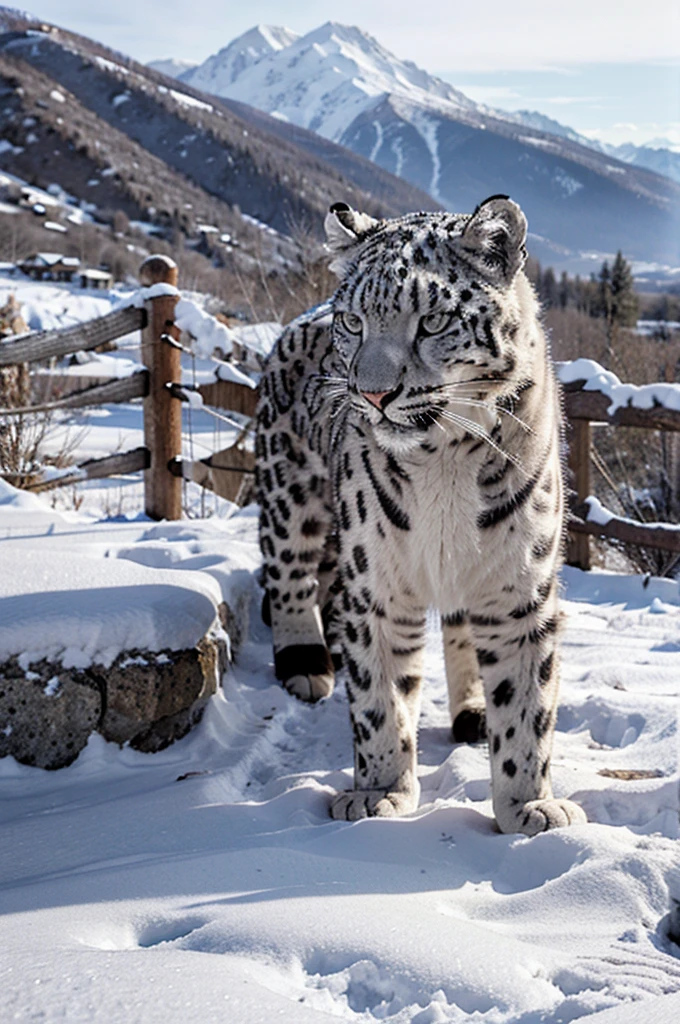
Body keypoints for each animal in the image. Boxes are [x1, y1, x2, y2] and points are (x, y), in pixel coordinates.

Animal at [255, 195, 585, 835]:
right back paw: (305, 666)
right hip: (288, 493)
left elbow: (526, 703)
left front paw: (528, 804)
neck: (444, 461)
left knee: (460, 629)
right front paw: (379, 792)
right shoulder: (377, 587)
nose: (373, 394)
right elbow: (379, 696)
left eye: (432, 322)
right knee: (290, 577)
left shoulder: (520, 588)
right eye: (354, 322)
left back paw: (473, 713)